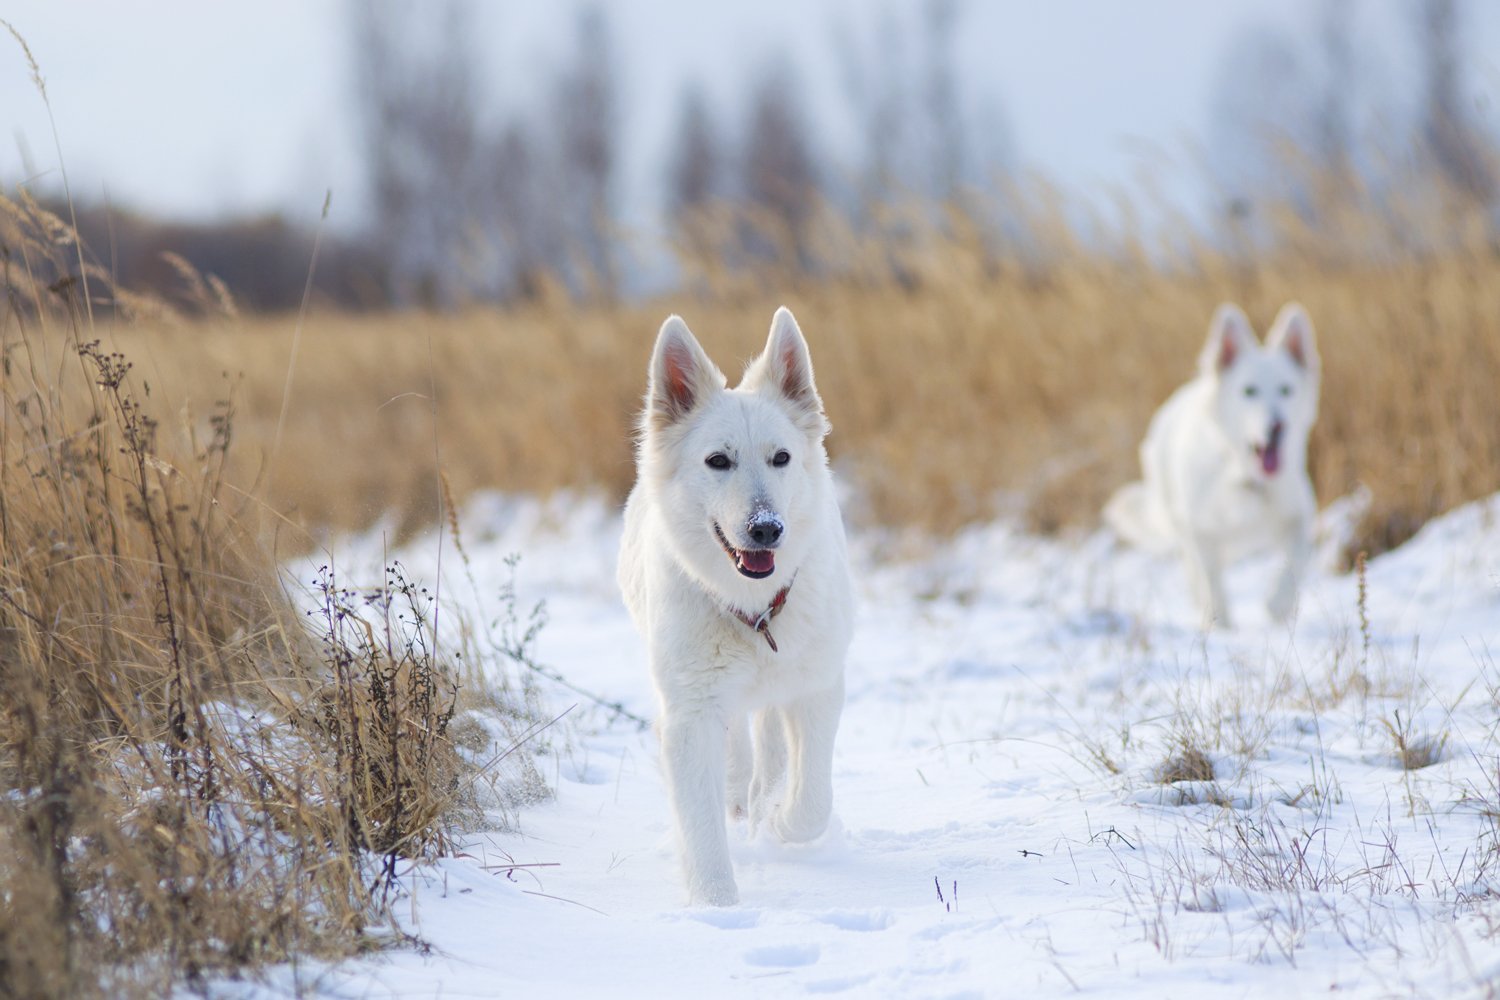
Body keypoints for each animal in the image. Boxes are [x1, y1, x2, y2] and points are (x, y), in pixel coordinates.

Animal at [618, 305, 858, 905]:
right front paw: (717, 908)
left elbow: (811, 802)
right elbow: (701, 823)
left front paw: (778, 819)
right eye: (718, 461)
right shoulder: (690, 712)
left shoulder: (818, 687)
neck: (754, 612)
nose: (766, 529)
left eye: (781, 458)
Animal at [1104, 301, 1326, 629]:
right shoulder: (1200, 531)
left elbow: (1294, 564)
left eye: (1286, 390)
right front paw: (1220, 622)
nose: (1275, 425)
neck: (1245, 478)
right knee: (1195, 571)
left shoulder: (1298, 517)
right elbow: (1211, 581)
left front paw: (1278, 606)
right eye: (1249, 391)